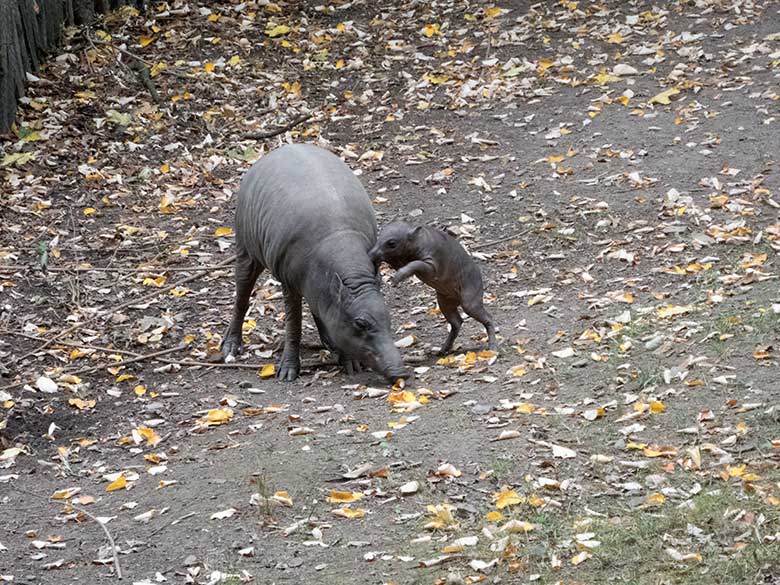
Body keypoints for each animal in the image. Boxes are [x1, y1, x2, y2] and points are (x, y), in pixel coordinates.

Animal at [221, 144, 408, 384]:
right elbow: (294, 324)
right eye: (360, 324)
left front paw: (350, 362)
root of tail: (277, 150)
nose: (400, 373)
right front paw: (288, 370)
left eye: (388, 318)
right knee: (242, 296)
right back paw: (231, 346)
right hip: (245, 246)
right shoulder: (288, 280)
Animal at [368, 221, 496, 354]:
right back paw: (443, 350)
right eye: (378, 238)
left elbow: (415, 264)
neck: (419, 240)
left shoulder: (431, 265)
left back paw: (493, 347)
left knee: (488, 318)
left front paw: (397, 277)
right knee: (457, 322)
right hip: (444, 301)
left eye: (391, 243)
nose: (371, 254)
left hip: (470, 299)